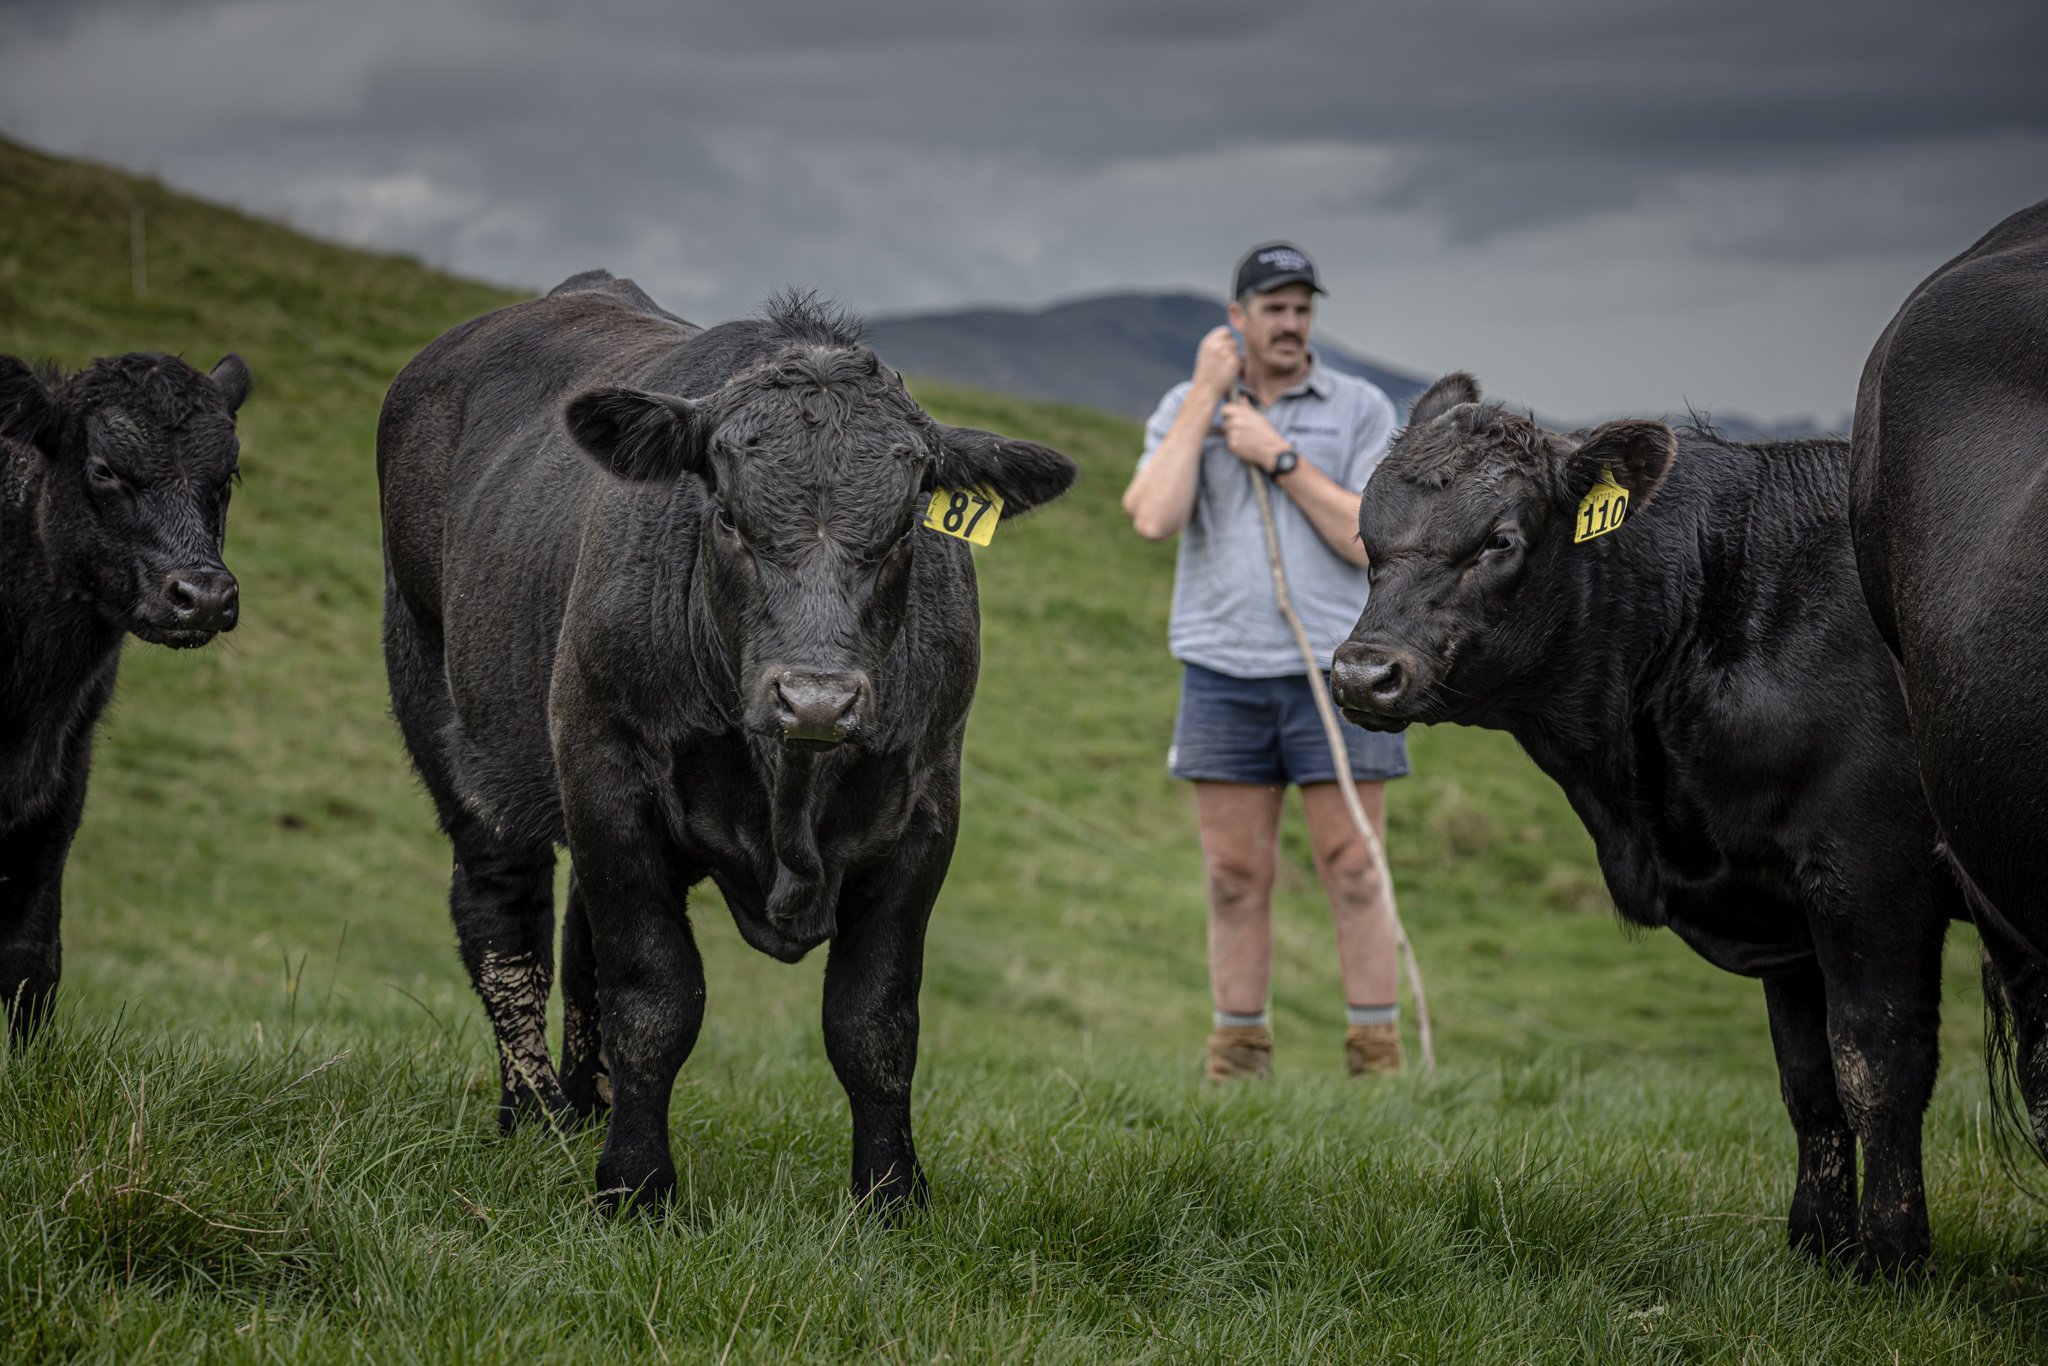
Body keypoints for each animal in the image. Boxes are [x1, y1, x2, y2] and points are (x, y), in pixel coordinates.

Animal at [376, 272, 1077, 1214]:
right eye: (730, 518)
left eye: (903, 530)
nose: (815, 697)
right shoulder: (607, 771)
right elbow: (656, 994)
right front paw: (635, 1185)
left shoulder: (927, 803)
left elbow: (874, 1019)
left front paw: (891, 1195)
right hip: (446, 716)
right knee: (503, 918)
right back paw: (535, 1120)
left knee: (577, 940)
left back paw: (584, 1111)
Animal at [1327, 373, 2037, 1277]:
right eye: (1366, 535)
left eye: (1499, 540)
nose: (1362, 673)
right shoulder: (1783, 903)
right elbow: (1809, 1081)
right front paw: (1818, 1254)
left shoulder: (1872, 875)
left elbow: (1877, 1066)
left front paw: (1892, 1261)